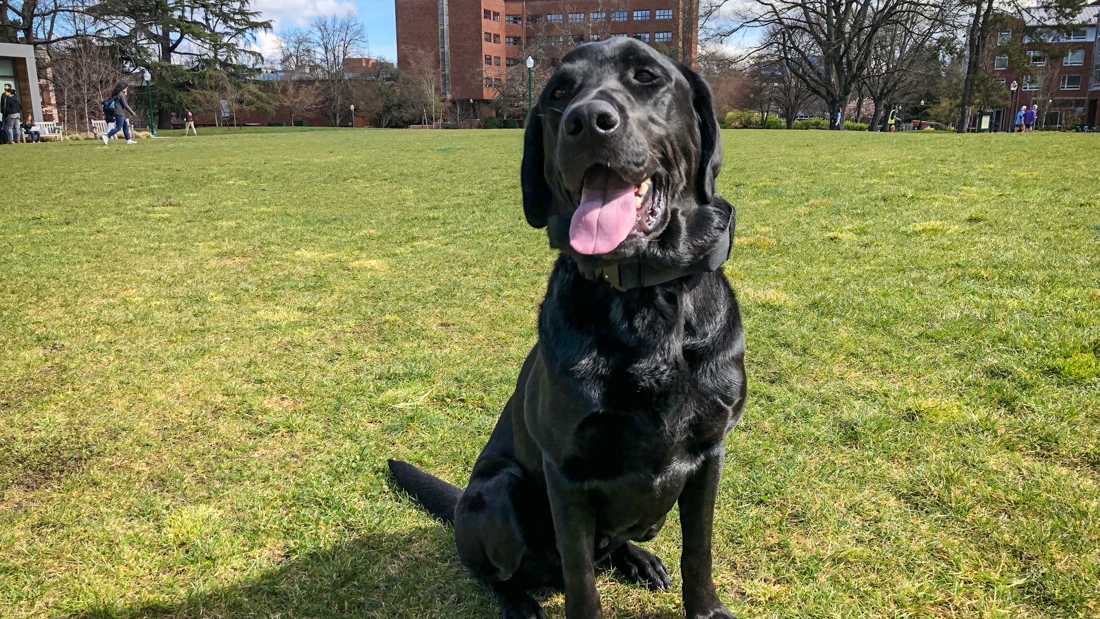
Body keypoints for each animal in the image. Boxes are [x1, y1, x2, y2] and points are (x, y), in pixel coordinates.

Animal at [389, 38, 748, 619]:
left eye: (646, 76)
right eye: (559, 94)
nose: (587, 121)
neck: (642, 298)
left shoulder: (709, 451)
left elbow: (700, 549)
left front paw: (706, 609)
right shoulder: (567, 471)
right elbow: (581, 576)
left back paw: (637, 560)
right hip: (498, 492)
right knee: (495, 570)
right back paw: (520, 603)